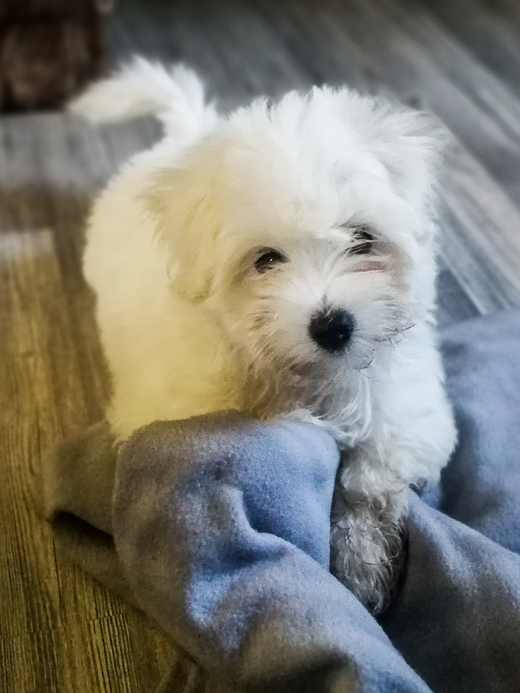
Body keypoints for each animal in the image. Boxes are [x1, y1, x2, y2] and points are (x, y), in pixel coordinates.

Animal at [72, 59, 456, 612]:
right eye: (266, 259)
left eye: (362, 239)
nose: (333, 325)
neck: (301, 377)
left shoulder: (405, 409)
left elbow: (372, 479)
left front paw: (362, 560)